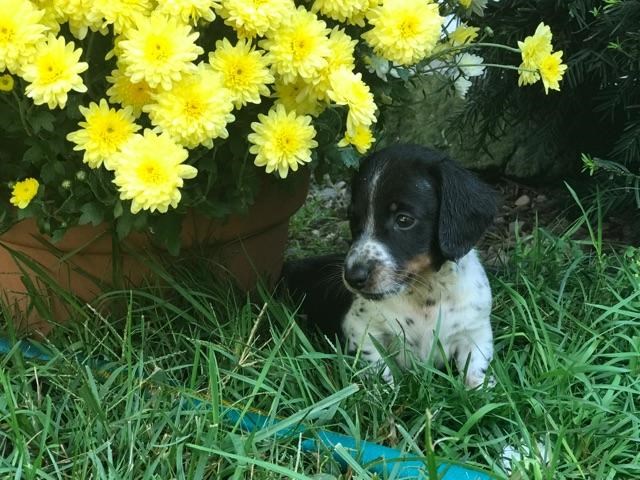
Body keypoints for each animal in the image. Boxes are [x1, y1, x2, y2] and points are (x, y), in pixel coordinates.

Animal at [282, 144, 498, 388]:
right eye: (354, 218)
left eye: (404, 220)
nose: (352, 277)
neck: (425, 292)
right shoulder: (360, 329)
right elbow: (378, 369)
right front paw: (385, 391)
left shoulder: (475, 332)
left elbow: (475, 368)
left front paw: (481, 389)